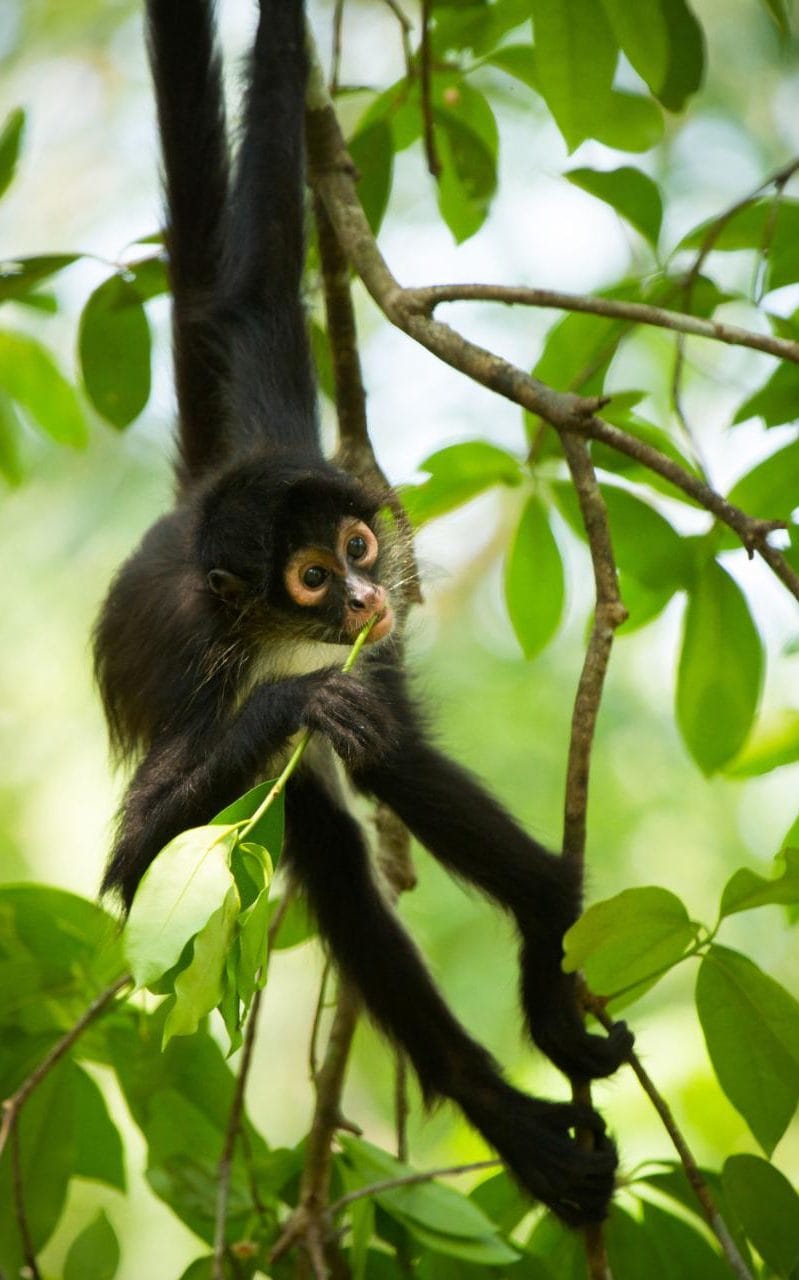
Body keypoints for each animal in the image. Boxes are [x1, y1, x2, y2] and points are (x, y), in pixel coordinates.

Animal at [94, 0, 632, 1227]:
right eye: (309, 575)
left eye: (350, 547)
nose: (364, 591)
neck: (265, 627)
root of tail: (193, 501)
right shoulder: (209, 676)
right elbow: (133, 871)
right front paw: (283, 709)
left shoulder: (351, 609)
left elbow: (251, 286)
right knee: (332, 834)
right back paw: (505, 1108)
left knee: (388, 757)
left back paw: (543, 936)